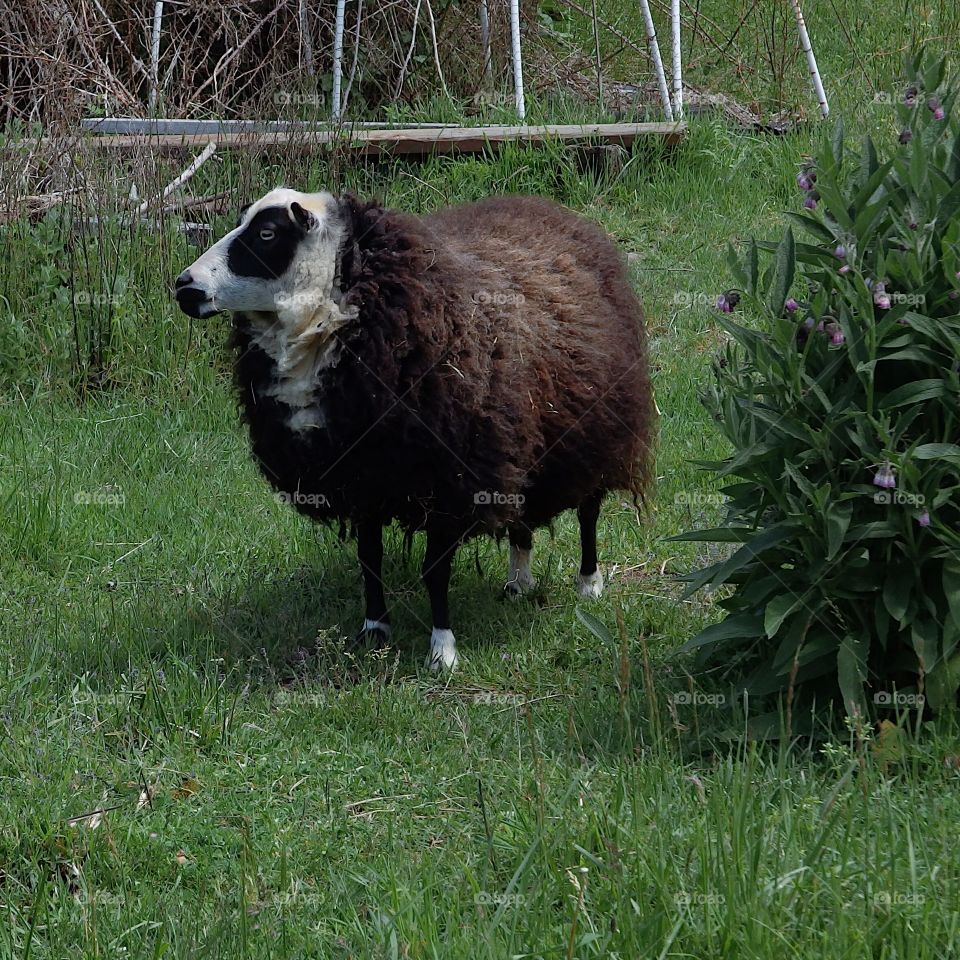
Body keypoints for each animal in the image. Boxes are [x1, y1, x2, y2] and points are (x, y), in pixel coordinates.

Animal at [174, 186, 652, 668]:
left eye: (268, 233)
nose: (184, 286)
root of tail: (553, 209)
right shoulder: (362, 476)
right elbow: (369, 558)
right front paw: (374, 630)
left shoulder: (449, 480)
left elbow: (434, 572)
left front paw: (443, 650)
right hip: (522, 437)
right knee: (519, 514)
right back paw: (519, 580)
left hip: (600, 430)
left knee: (589, 509)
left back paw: (589, 582)